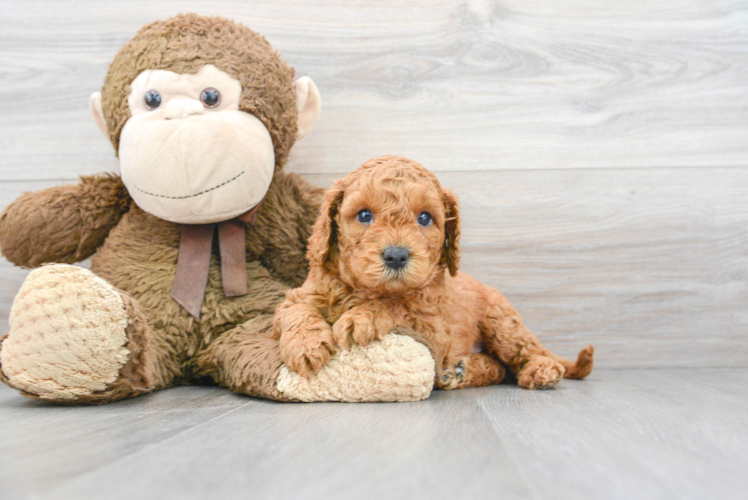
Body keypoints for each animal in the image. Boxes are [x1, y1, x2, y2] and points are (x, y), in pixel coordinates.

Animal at [272, 154, 592, 388]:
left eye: (425, 218)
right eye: (364, 215)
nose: (396, 255)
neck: (367, 289)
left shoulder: (435, 331)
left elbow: (398, 307)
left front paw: (362, 317)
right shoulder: (303, 294)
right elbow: (295, 311)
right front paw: (306, 346)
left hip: (502, 323)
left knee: (522, 353)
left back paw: (541, 370)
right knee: (500, 369)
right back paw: (460, 371)